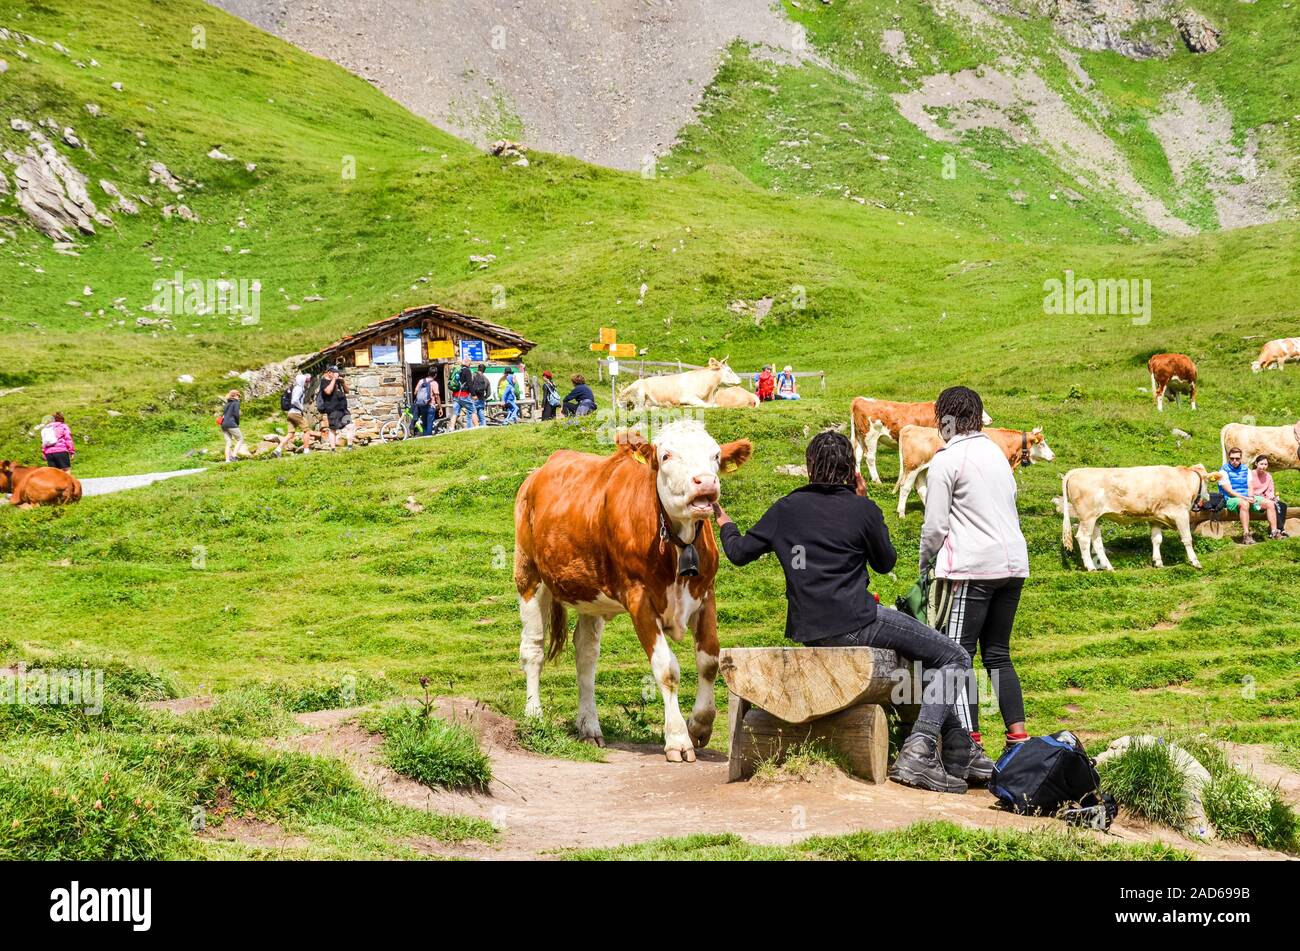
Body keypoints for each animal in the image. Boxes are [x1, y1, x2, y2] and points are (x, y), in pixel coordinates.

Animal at [509, 420, 754, 763]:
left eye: (715, 455)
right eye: (666, 456)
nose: (705, 482)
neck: (678, 541)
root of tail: (539, 472)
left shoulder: (706, 593)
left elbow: (709, 660)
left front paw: (700, 725)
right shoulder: (640, 599)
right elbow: (666, 669)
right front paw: (678, 738)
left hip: (590, 594)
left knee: (586, 654)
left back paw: (589, 727)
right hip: (529, 575)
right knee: (533, 649)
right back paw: (535, 716)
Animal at [852, 394, 993, 483]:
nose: (990, 419)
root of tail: (860, 399)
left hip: (859, 437)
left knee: (857, 455)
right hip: (870, 436)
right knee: (870, 457)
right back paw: (877, 481)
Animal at [899, 426, 1050, 517]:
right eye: (1042, 444)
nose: (1053, 455)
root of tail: (911, 428)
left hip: (922, 469)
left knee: (922, 489)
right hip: (913, 467)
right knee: (905, 488)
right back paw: (901, 514)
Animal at [1060, 465, 1211, 569]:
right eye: (1207, 482)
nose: (1208, 497)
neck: (1183, 482)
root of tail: (1076, 471)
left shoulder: (1155, 517)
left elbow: (1157, 539)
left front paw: (1158, 562)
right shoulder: (1181, 514)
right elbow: (1187, 539)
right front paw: (1195, 561)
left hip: (1095, 518)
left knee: (1097, 542)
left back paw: (1109, 567)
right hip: (1087, 517)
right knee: (1083, 538)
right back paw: (1091, 567)